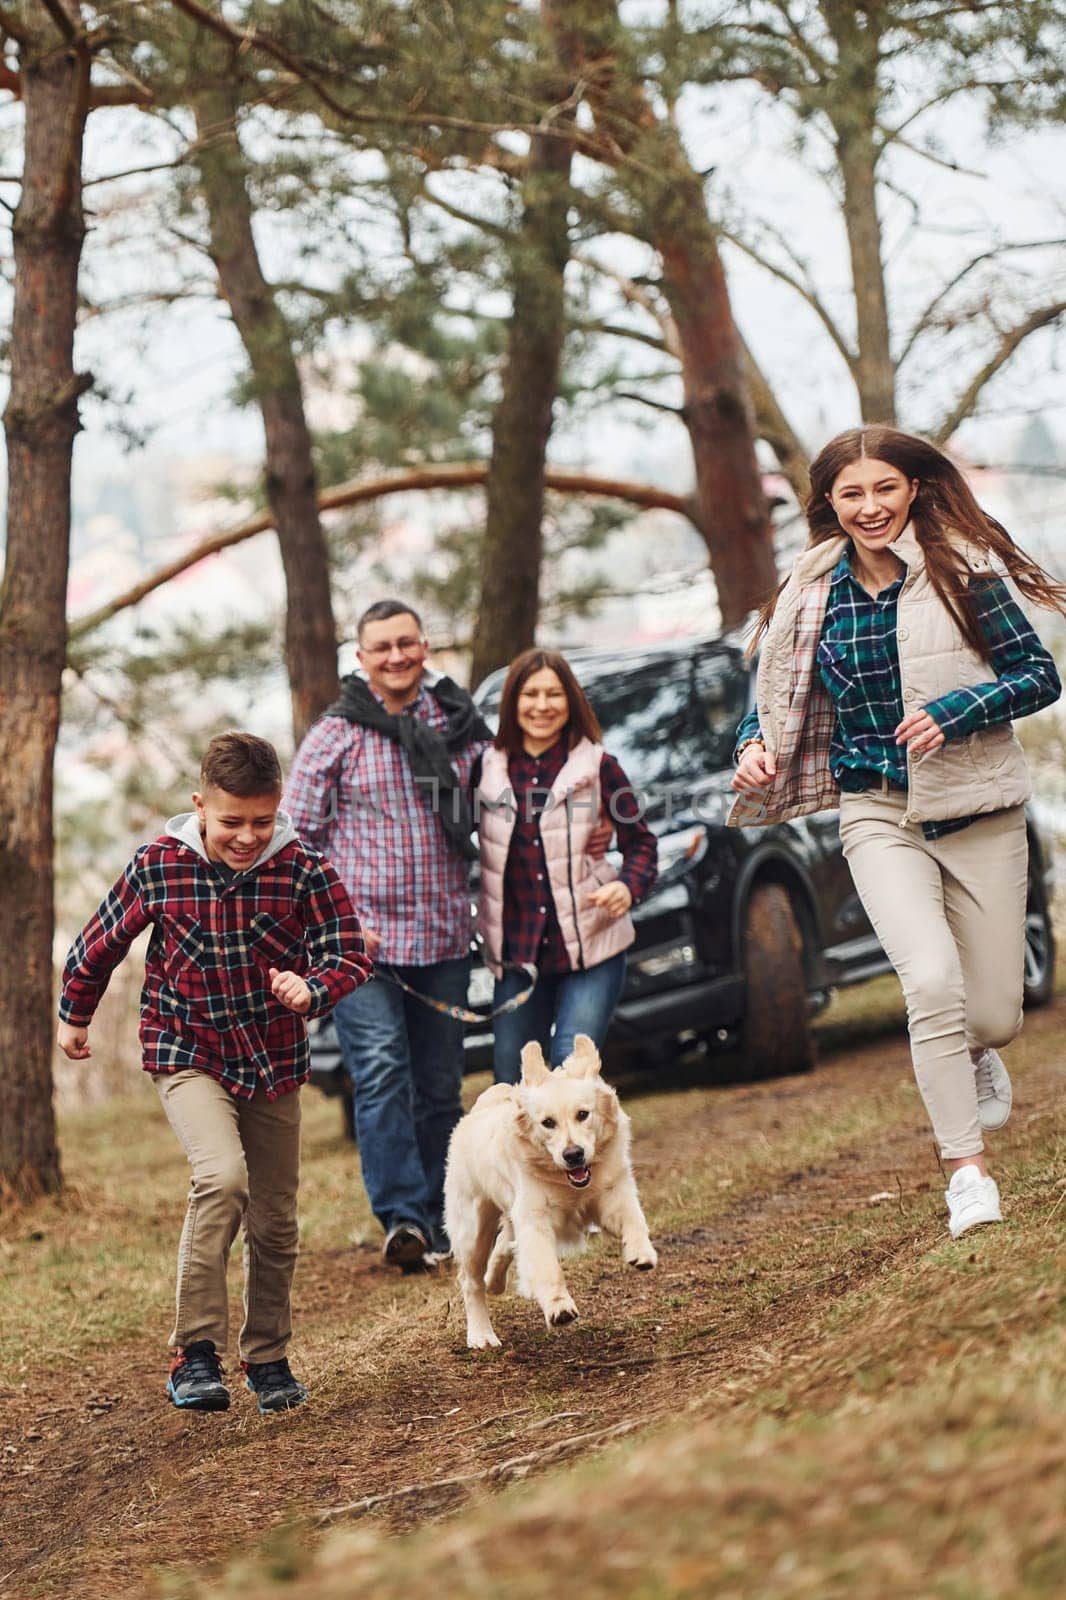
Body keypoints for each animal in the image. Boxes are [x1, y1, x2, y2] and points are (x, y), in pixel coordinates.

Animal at [438, 1030, 656, 1344]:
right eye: (548, 1123)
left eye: (583, 1114)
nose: (573, 1154)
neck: (567, 1182)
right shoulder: (535, 1220)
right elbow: (546, 1267)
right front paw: (559, 1307)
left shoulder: (612, 1194)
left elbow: (633, 1220)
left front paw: (642, 1252)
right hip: (472, 1228)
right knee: (471, 1281)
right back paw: (481, 1334)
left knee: (504, 1246)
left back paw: (495, 1281)